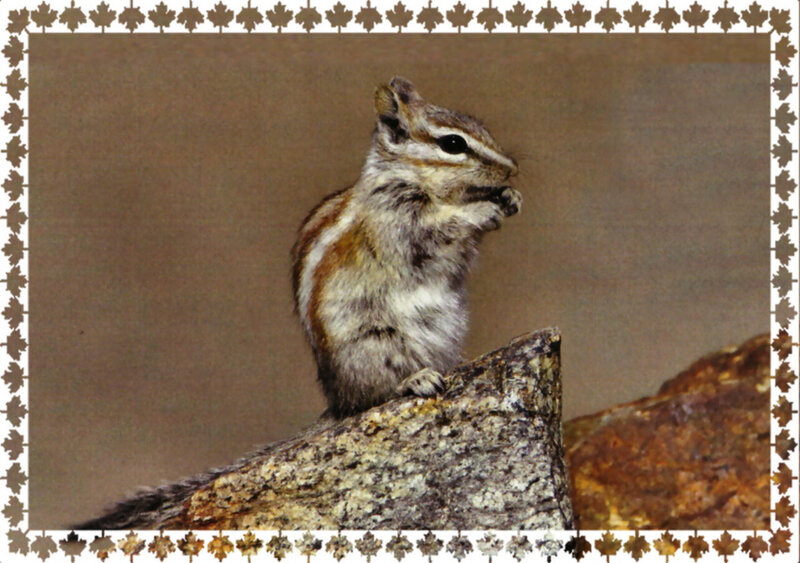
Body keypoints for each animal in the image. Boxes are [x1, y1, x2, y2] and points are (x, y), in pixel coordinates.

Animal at [293, 77, 521, 418]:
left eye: (481, 127)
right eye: (453, 144)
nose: (512, 168)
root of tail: (338, 399)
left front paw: (510, 197)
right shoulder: (400, 221)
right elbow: (438, 231)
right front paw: (481, 211)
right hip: (374, 342)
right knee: (375, 393)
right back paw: (417, 379)